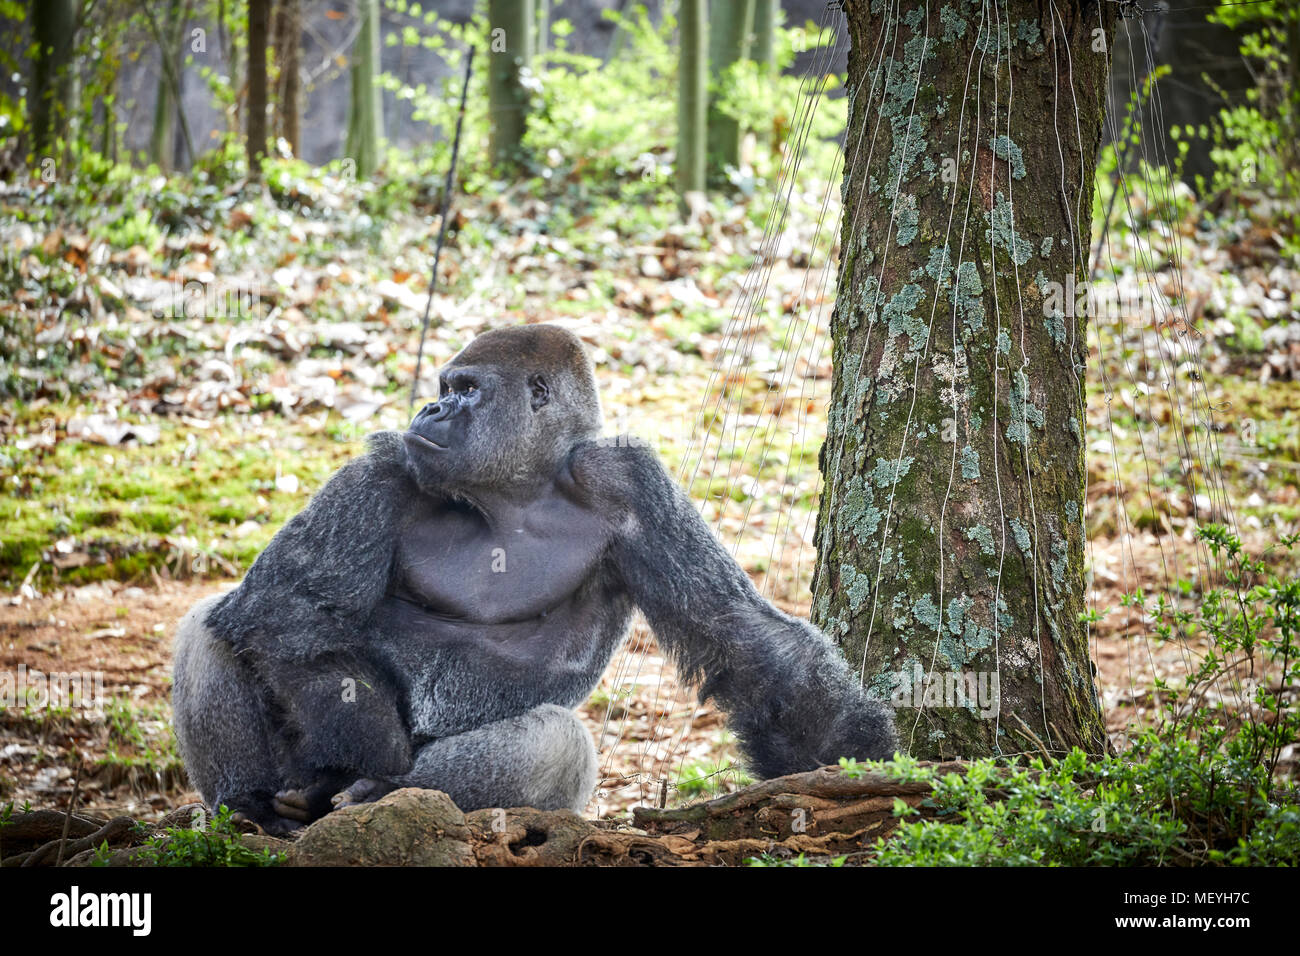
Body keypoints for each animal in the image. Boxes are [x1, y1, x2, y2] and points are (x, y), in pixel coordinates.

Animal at [172, 321, 899, 832]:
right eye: (444, 389)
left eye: (465, 390)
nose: (429, 412)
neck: (516, 488)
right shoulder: (384, 467)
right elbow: (289, 603)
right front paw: (365, 736)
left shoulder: (628, 480)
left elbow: (741, 634)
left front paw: (852, 754)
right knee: (222, 622)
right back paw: (257, 804)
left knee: (553, 744)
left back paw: (374, 792)